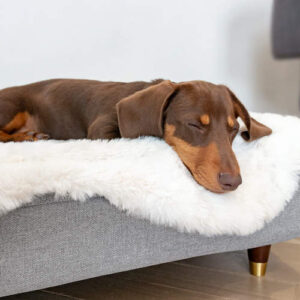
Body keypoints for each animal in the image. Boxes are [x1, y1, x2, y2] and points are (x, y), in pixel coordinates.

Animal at [0, 78, 272, 193]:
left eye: (233, 129)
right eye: (194, 125)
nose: (233, 183)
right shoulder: (101, 128)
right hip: (10, 108)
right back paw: (27, 136)